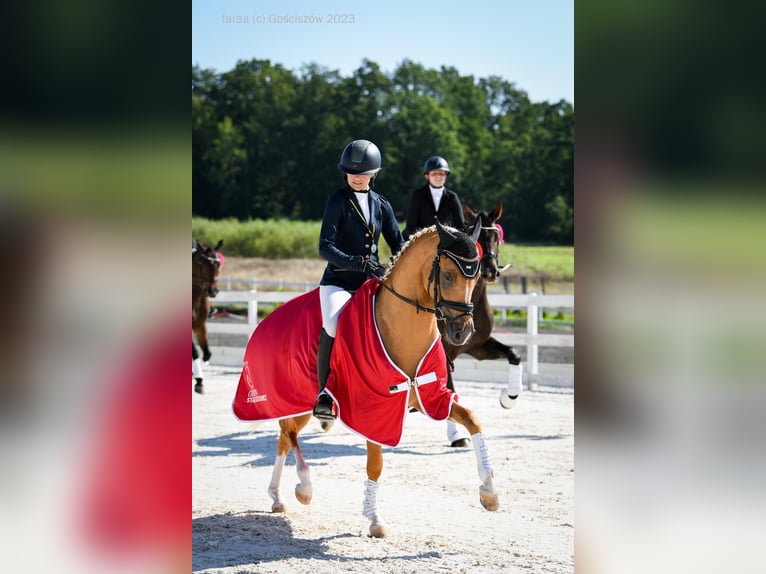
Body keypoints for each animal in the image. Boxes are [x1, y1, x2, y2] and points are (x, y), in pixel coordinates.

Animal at [231, 222, 500, 540]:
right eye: (447, 275)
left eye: (476, 278)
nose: (463, 333)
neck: (399, 326)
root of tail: (266, 319)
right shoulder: (373, 409)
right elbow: (375, 465)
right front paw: (375, 519)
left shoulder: (430, 396)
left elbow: (472, 418)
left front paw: (489, 493)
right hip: (293, 400)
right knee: (290, 434)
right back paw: (303, 487)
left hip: (298, 404)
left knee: (285, 438)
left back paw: (278, 497)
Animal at [440, 202, 524, 450]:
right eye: (478, 238)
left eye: (496, 237)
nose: (489, 270)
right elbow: (450, 389)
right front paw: (457, 434)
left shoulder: (477, 346)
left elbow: (514, 353)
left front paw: (509, 397)